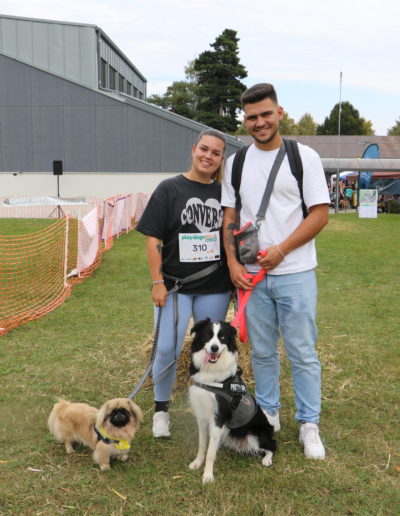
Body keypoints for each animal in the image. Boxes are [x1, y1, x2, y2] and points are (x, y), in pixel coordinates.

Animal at [188, 318, 276, 483]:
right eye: (208, 335)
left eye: (222, 337)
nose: (214, 348)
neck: (212, 373)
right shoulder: (202, 415)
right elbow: (203, 445)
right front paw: (197, 462)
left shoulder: (218, 417)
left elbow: (210, 452)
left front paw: (208, 475)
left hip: (256, 436)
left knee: (272, 446)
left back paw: (267, 459)